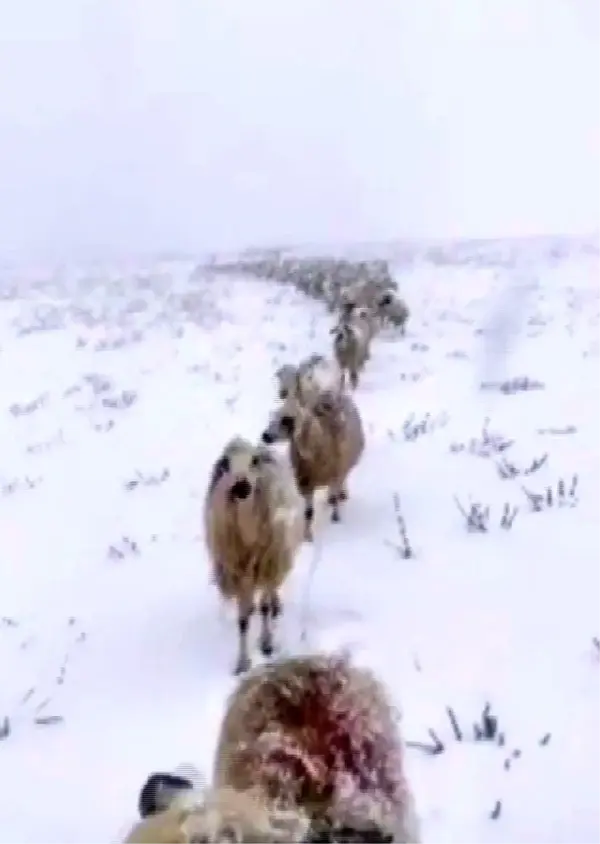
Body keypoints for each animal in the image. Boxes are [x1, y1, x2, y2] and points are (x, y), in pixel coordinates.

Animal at [203, 438, 304, 676]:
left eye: (253, 461)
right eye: (226, 464)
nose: (241, 487)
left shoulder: (268, 565)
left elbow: (264, 607)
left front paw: (267, 644)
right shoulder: (237, 574)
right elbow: (243, 620)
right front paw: (242, 662)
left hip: (277, 560)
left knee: (272, 592)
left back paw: (275, 607)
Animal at [260, 388, 364, 540]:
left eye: (286, 419)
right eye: (271, 417)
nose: (265, 436)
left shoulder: (335, 474)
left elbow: (335, 499)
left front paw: (336, 519)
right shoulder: (305, 483)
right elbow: (308, 512)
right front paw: (308, 536)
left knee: (341, 484)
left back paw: (341, 496)